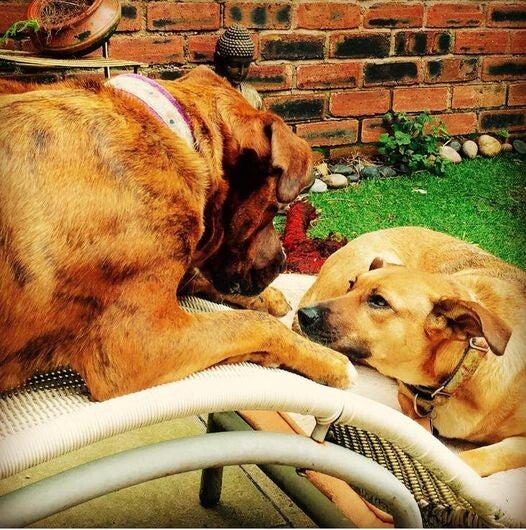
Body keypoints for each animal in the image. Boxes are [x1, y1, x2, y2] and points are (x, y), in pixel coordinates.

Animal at [0, 66, 356, 401]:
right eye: (272, 209)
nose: (283, 262)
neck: (174, 134)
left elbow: (204, 283)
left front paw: (268, 297)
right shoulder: (141, 342)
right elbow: (254, 325)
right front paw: (327, 359)